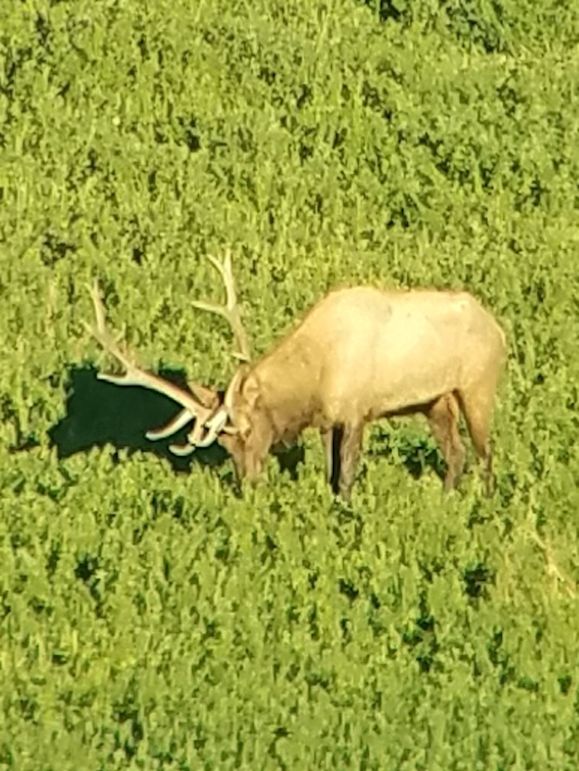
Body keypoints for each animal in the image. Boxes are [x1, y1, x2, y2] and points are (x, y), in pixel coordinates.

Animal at [84, 252, 507, 500]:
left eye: (246, 431)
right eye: (224, 444)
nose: (248, 486)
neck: (314, 380)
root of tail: (499, 329)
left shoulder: (356, 411)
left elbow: (347, 474)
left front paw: (345, 512)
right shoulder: (327, 420)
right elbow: (330, 471)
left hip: (478, 386)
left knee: (485, 454)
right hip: (435, 401)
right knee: (457, 453)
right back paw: (446, 498)